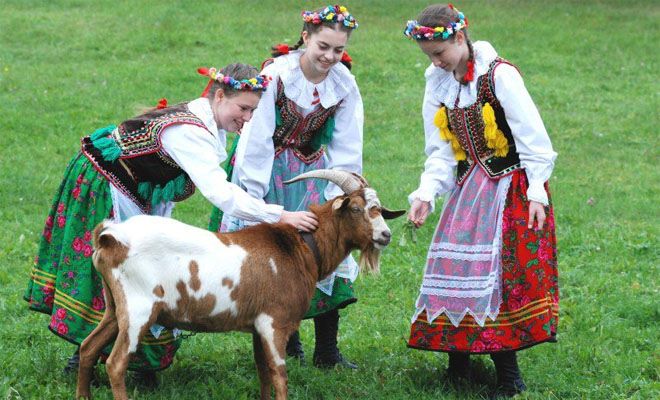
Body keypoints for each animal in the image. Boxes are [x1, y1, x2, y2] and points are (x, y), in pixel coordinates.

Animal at [75, 170, 404, 400]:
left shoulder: (257, 326)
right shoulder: (274, 322)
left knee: (88, 348)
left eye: (379, 209)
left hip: (115, 308)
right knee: (115, 363)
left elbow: (263, 372)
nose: (385, 235)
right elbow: (279, 373)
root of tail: (111, 237)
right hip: (139, 309)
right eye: (356, 208)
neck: (300, 247)